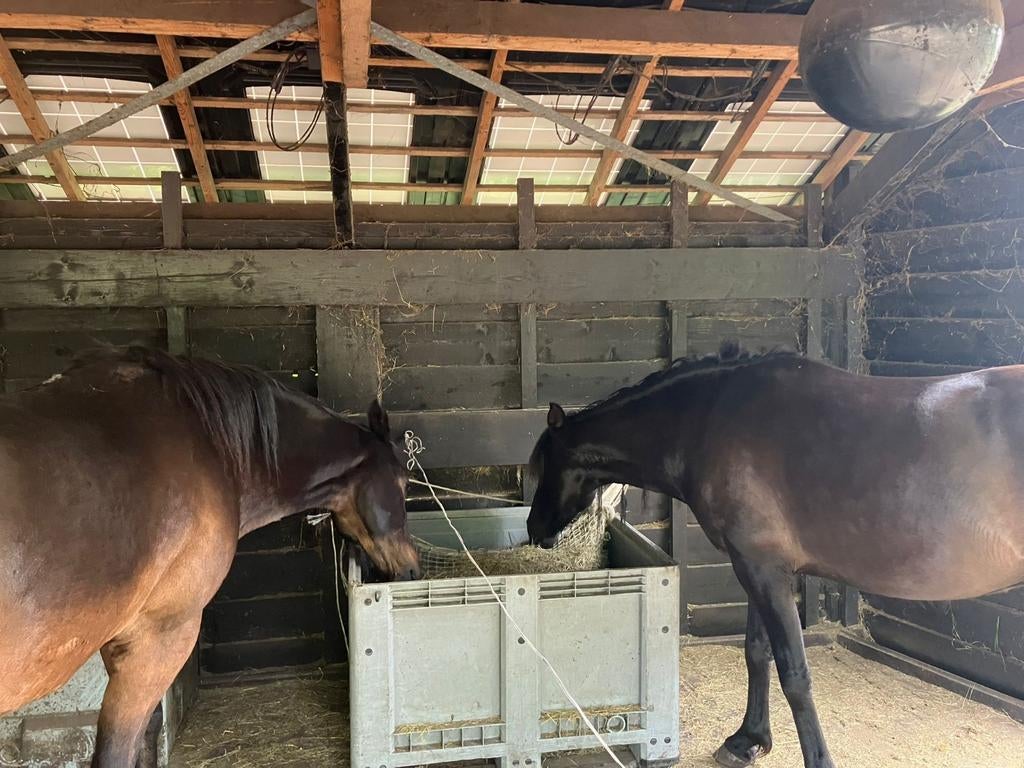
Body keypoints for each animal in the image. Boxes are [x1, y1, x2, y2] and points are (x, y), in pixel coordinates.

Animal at [526, 342, 1024, 768]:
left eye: (544, 464)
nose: (534, 530)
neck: (708, 421)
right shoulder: (754, 566)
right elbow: (756, 652)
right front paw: (747, 741)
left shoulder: (762, 569)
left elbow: (794, 674)